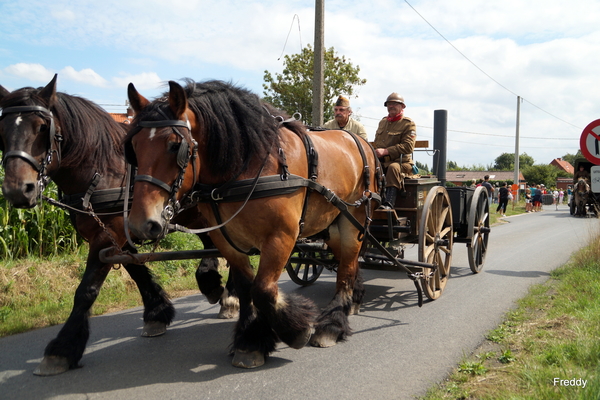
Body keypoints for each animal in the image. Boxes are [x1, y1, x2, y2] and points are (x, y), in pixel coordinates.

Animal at [0, 74, 237, 376]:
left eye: (42, 127)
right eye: (2, 130)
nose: (18, 190)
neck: (103, 169)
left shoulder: (108, 235)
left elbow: (86, 290)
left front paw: (62, 349)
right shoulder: (121, 233)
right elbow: (136, 270)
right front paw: (157, 313)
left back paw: (229, 296)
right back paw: (214, 284)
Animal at [125, 79, 380, 368]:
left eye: (173, 145)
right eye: (134, 148)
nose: (141, 223)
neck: (249, 166)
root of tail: (362, 142)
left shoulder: (281, 237)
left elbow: (264, 290)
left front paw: (296, 329)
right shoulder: (227, 240)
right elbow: (248, 289)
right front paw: (250, 341)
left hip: (353, 221)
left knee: (346, 269)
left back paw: (332, 325)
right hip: (333, 225)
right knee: (349, 263)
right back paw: (354, 300)